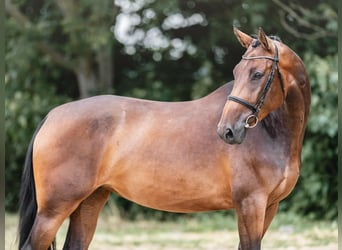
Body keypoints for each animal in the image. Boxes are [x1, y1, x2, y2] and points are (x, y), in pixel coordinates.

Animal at [18, 27, 310, 250]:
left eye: (257, 74)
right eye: (236, 73)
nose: (227, 130)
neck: (271, 133)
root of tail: (52, 116)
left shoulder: (268, 206)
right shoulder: (250, 204)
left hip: (88, 202)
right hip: (53, 210)